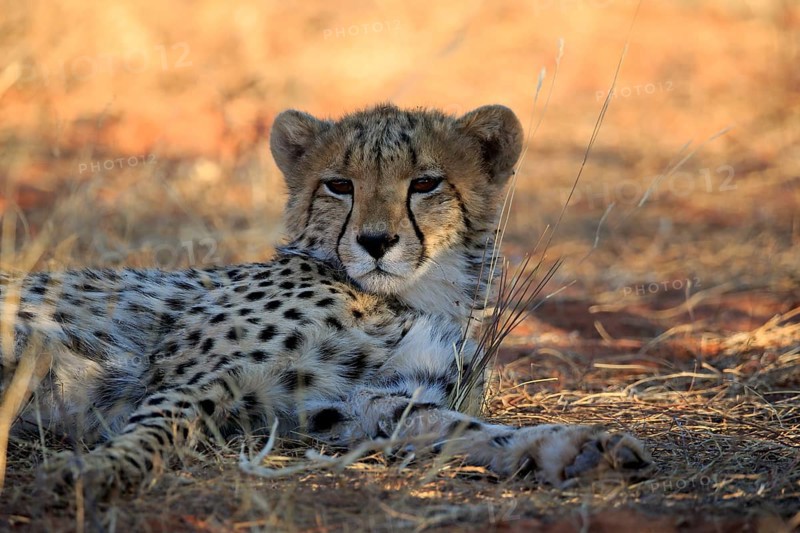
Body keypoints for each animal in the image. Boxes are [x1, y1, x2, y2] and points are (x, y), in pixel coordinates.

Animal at [1, 103, 652, 500]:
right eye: (340, 185)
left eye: (425, 183)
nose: (375, 241)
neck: (411, 296)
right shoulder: (196, 372)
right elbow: (163, 427)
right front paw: (102, 472)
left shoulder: (355, 404)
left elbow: (461, 427)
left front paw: (573, 446)